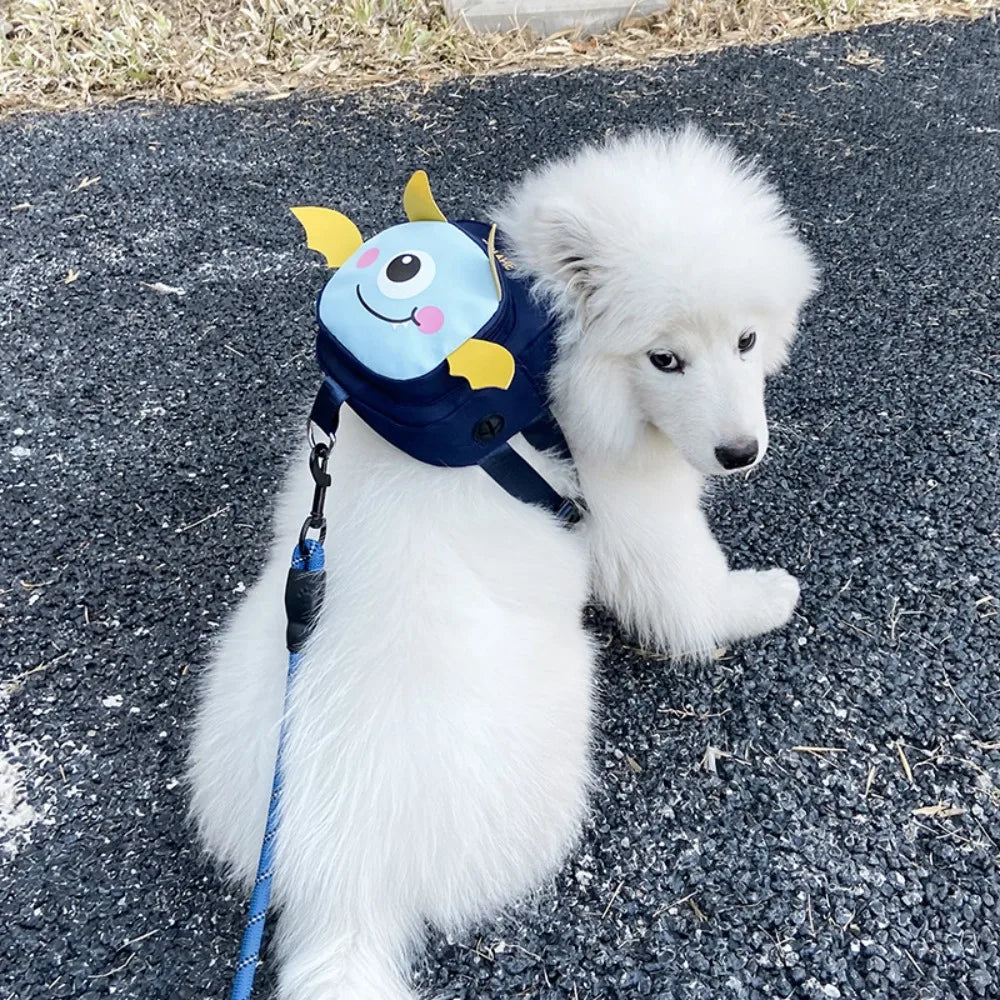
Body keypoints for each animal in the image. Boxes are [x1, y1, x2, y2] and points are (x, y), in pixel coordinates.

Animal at [188, 127, 820, 1000]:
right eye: (664, 359)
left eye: (747, 341)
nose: (740, 454)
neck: (549, 367)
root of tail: (343, 884)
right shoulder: (634, 513)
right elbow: (689, 592)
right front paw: (763, 598)